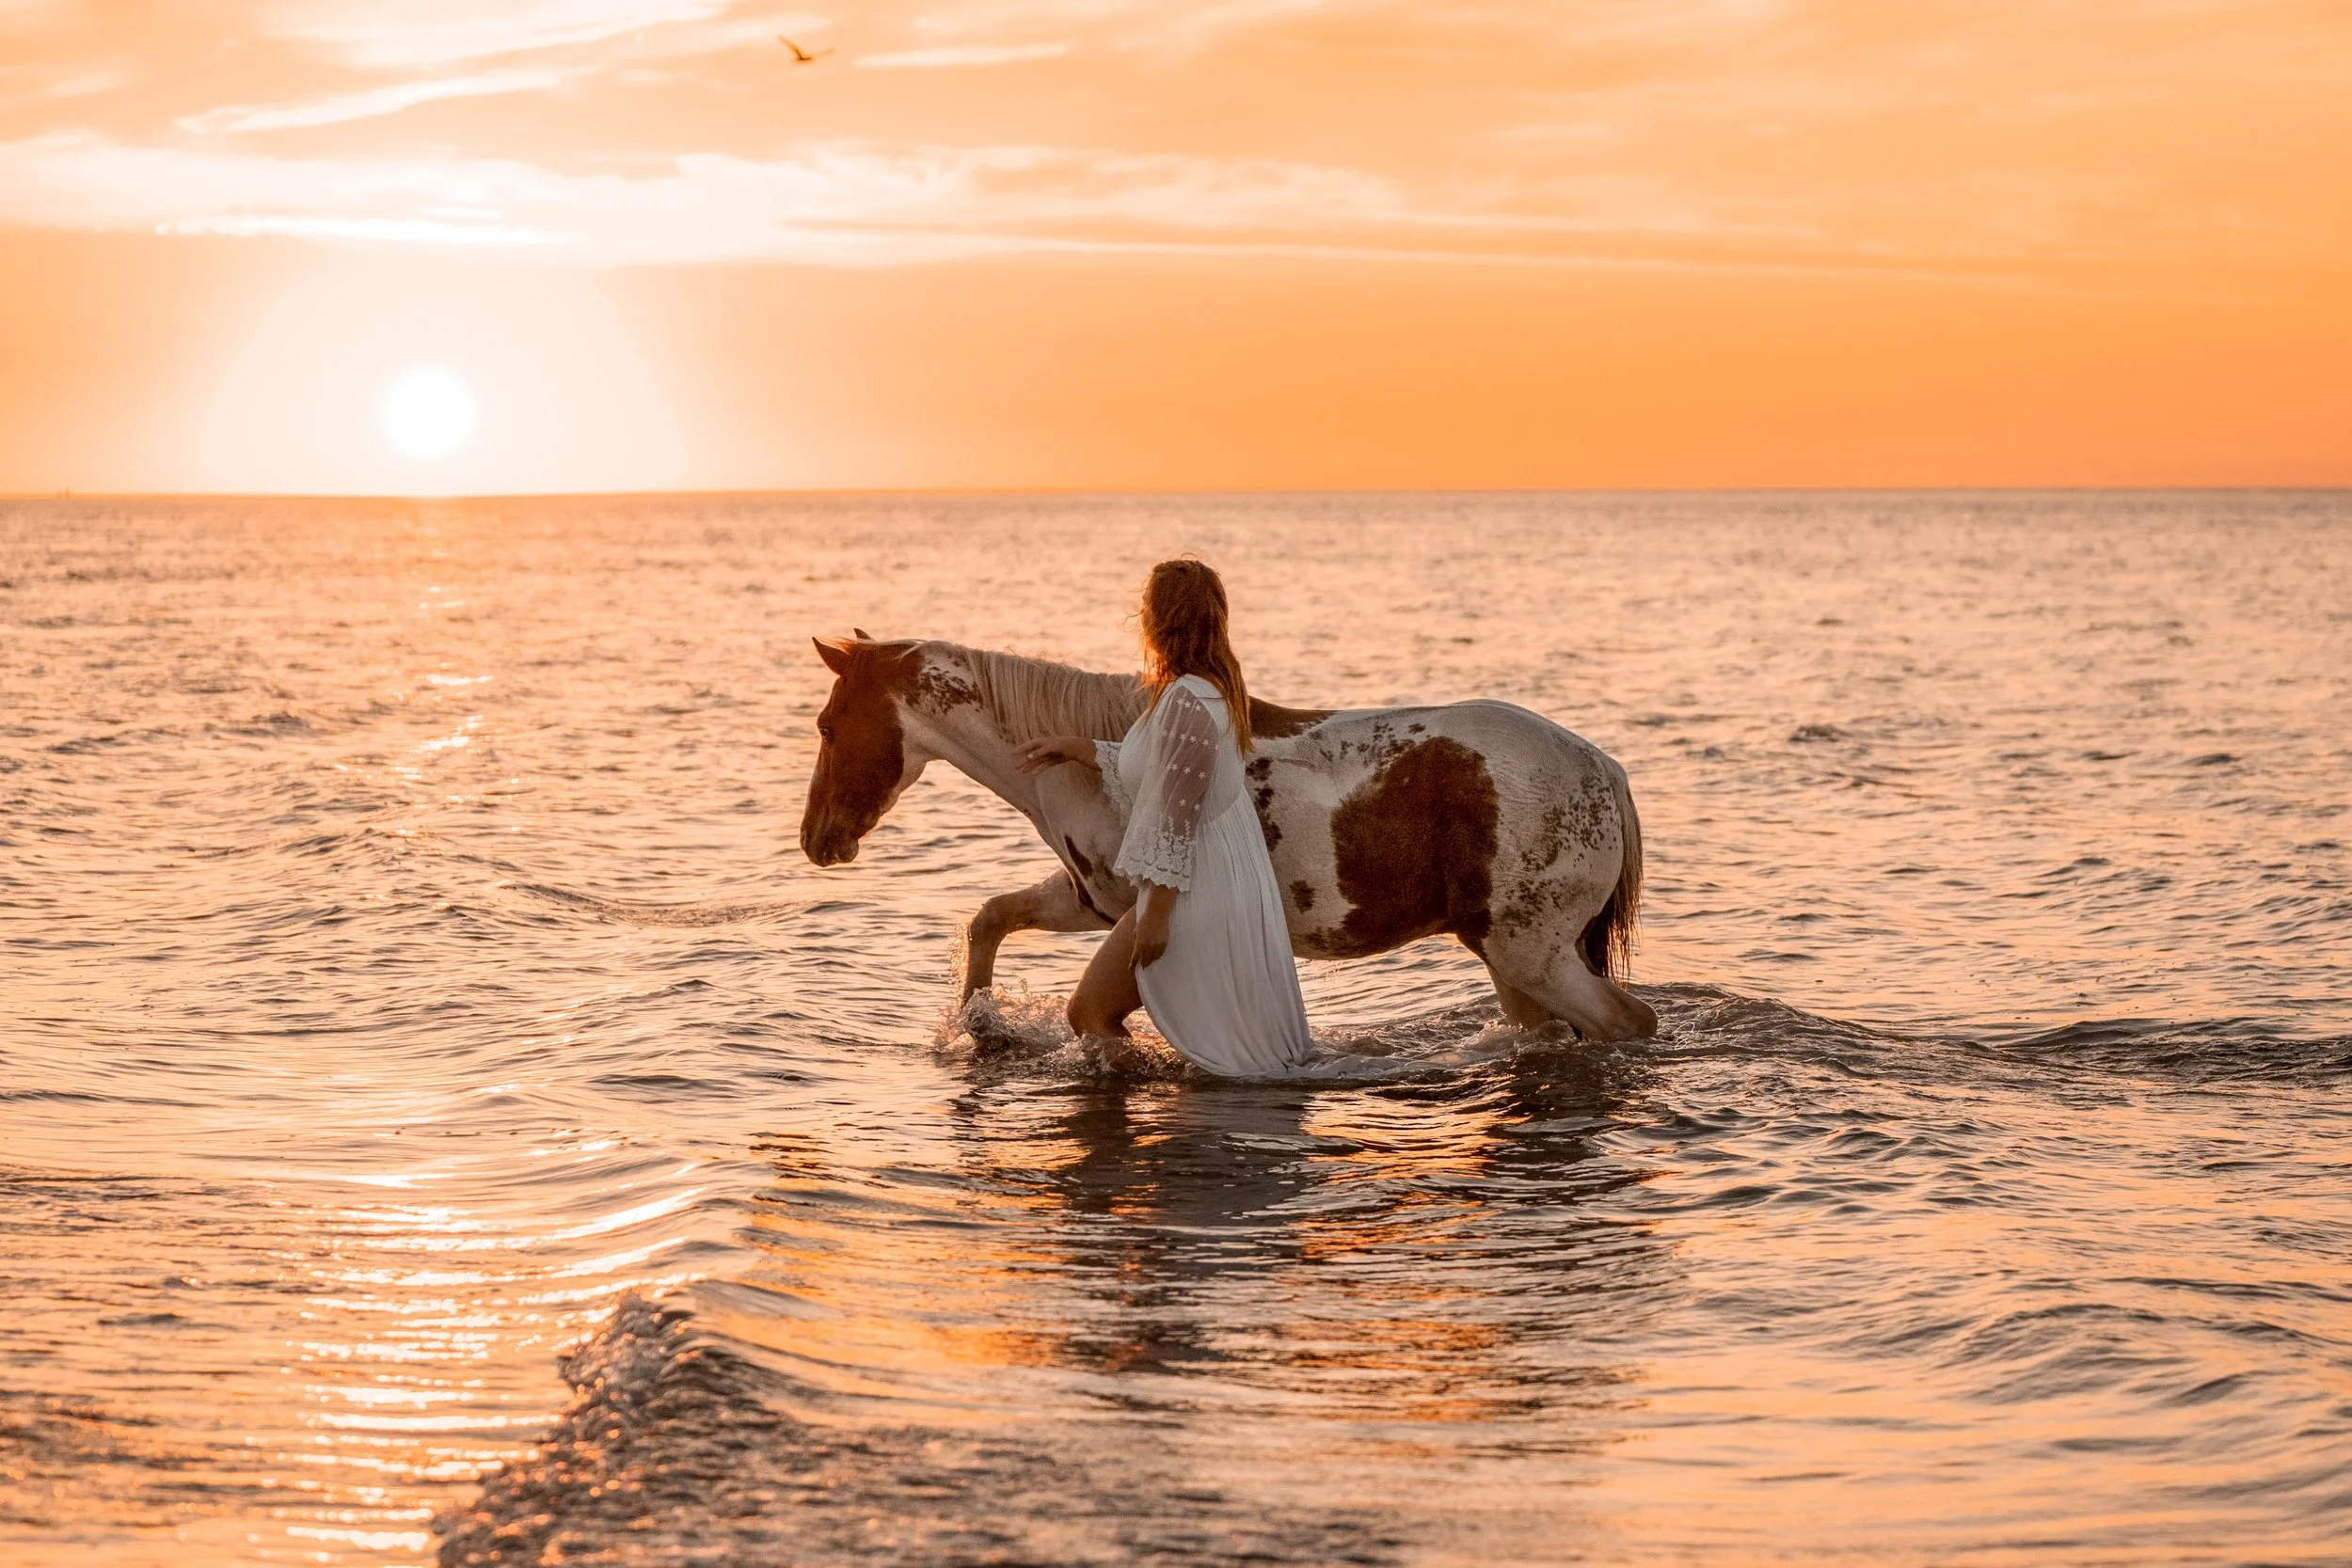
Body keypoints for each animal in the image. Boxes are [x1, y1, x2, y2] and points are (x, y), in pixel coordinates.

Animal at [799, 634, 1658, 1041]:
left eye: (828, 724)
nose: (816, 839)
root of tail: (1603, 767)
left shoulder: (1128, 914)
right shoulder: (1087, 900)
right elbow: (989, 919)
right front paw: (976, 1024)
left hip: (1530, 952)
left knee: (1628, 1024)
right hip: (1514, 962)